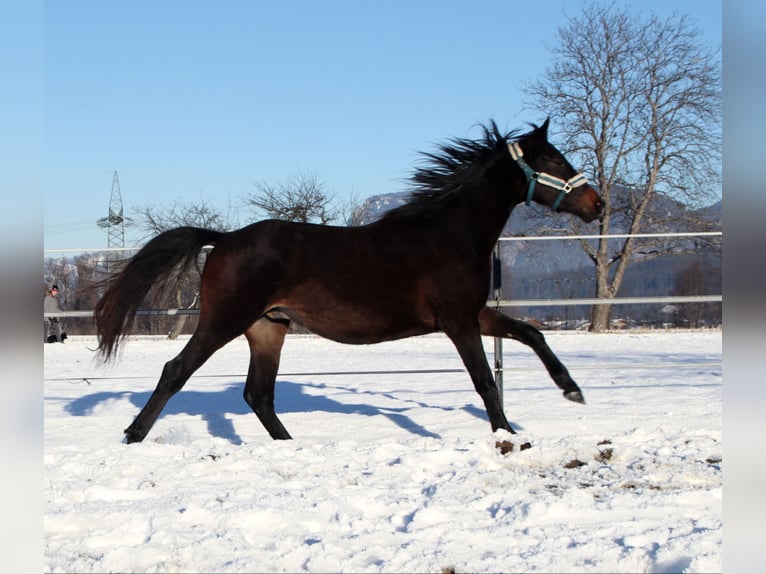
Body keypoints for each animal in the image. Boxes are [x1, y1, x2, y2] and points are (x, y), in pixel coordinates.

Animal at [94, 118, 608, 446]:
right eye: (555, 161)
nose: (597, 204)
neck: (451, 231)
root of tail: (223, 238)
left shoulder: (474, 314)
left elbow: (531, 333)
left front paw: (572, 391)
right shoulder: (457, 321)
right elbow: (484, 379)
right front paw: (507, 433)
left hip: (268, 328)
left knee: (258, 394)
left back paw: (290, 445)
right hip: (224, 321)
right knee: (176, 371)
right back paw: (133, 435)